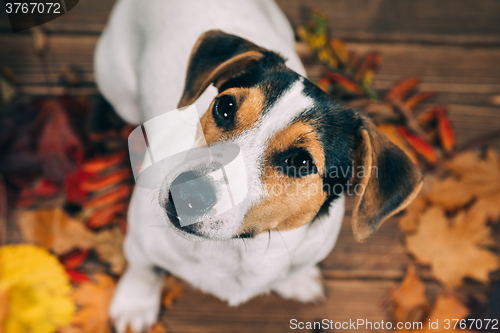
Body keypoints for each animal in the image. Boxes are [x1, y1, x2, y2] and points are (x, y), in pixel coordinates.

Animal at [94, 1, 422, 330]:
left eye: (301, 161)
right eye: (225, 106)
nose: (187, 193)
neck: (238, 249)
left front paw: (297, 281)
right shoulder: (140, 240)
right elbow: (144, 269)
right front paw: (135, 304)